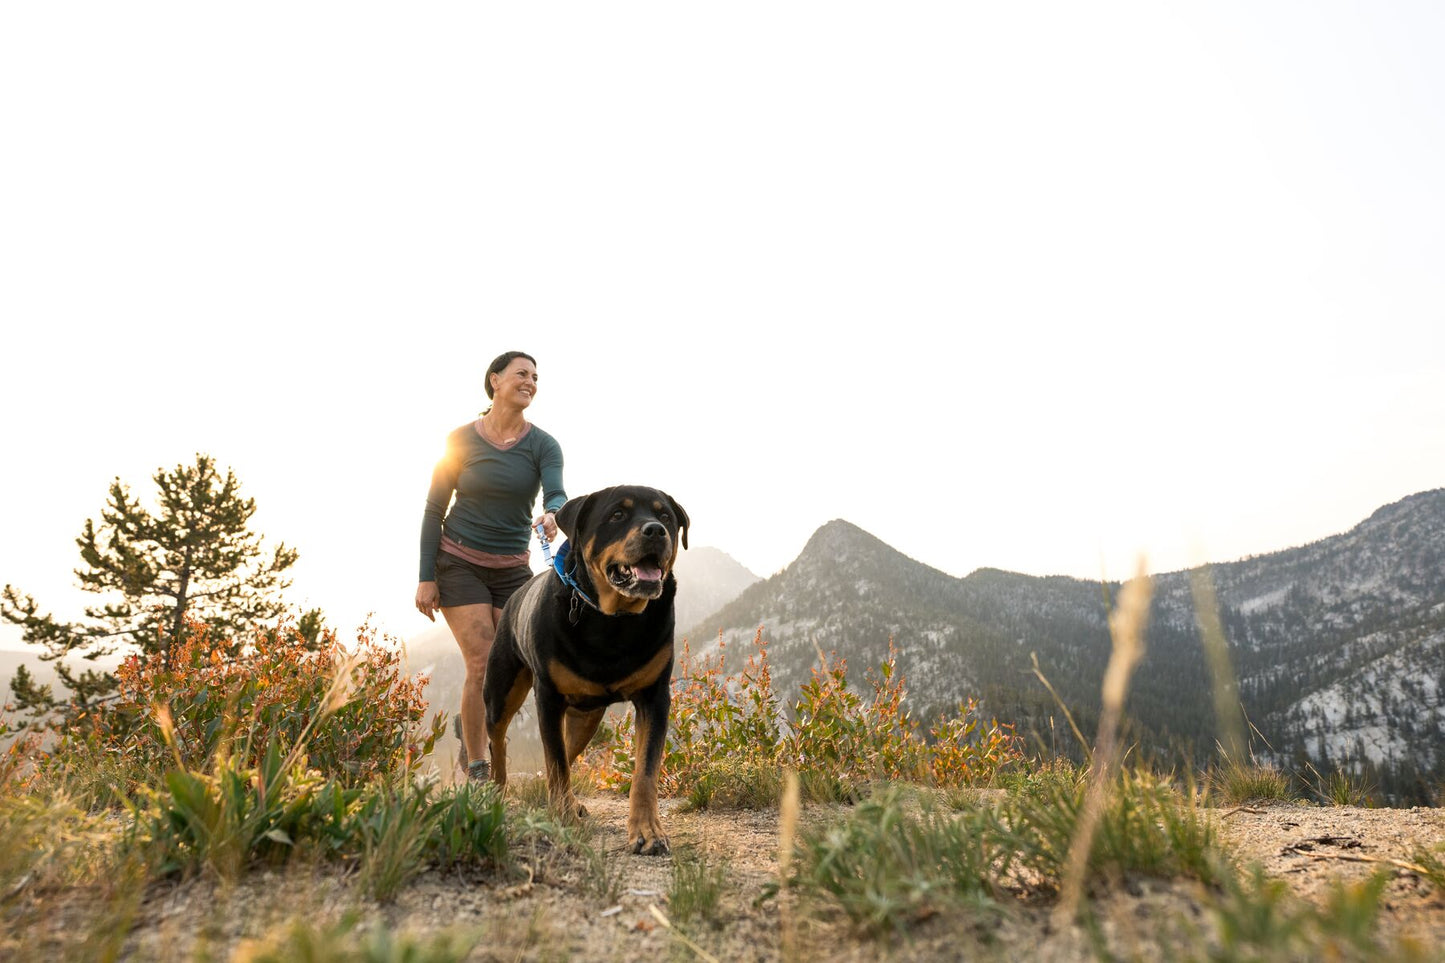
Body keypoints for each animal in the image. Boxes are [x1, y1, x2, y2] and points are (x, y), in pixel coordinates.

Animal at [485, 482, 687, 850]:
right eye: (617, 514)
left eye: (665, 516)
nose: (656, 530)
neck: (613, 619)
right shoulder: (548, 697)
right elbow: (555, 763)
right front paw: (562, 818)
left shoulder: (655, 698)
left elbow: (645, 771)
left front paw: (647, 830)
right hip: (500, 691)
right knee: (499, 741)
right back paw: (498, 792)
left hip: (587, 717)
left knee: (568, 748)